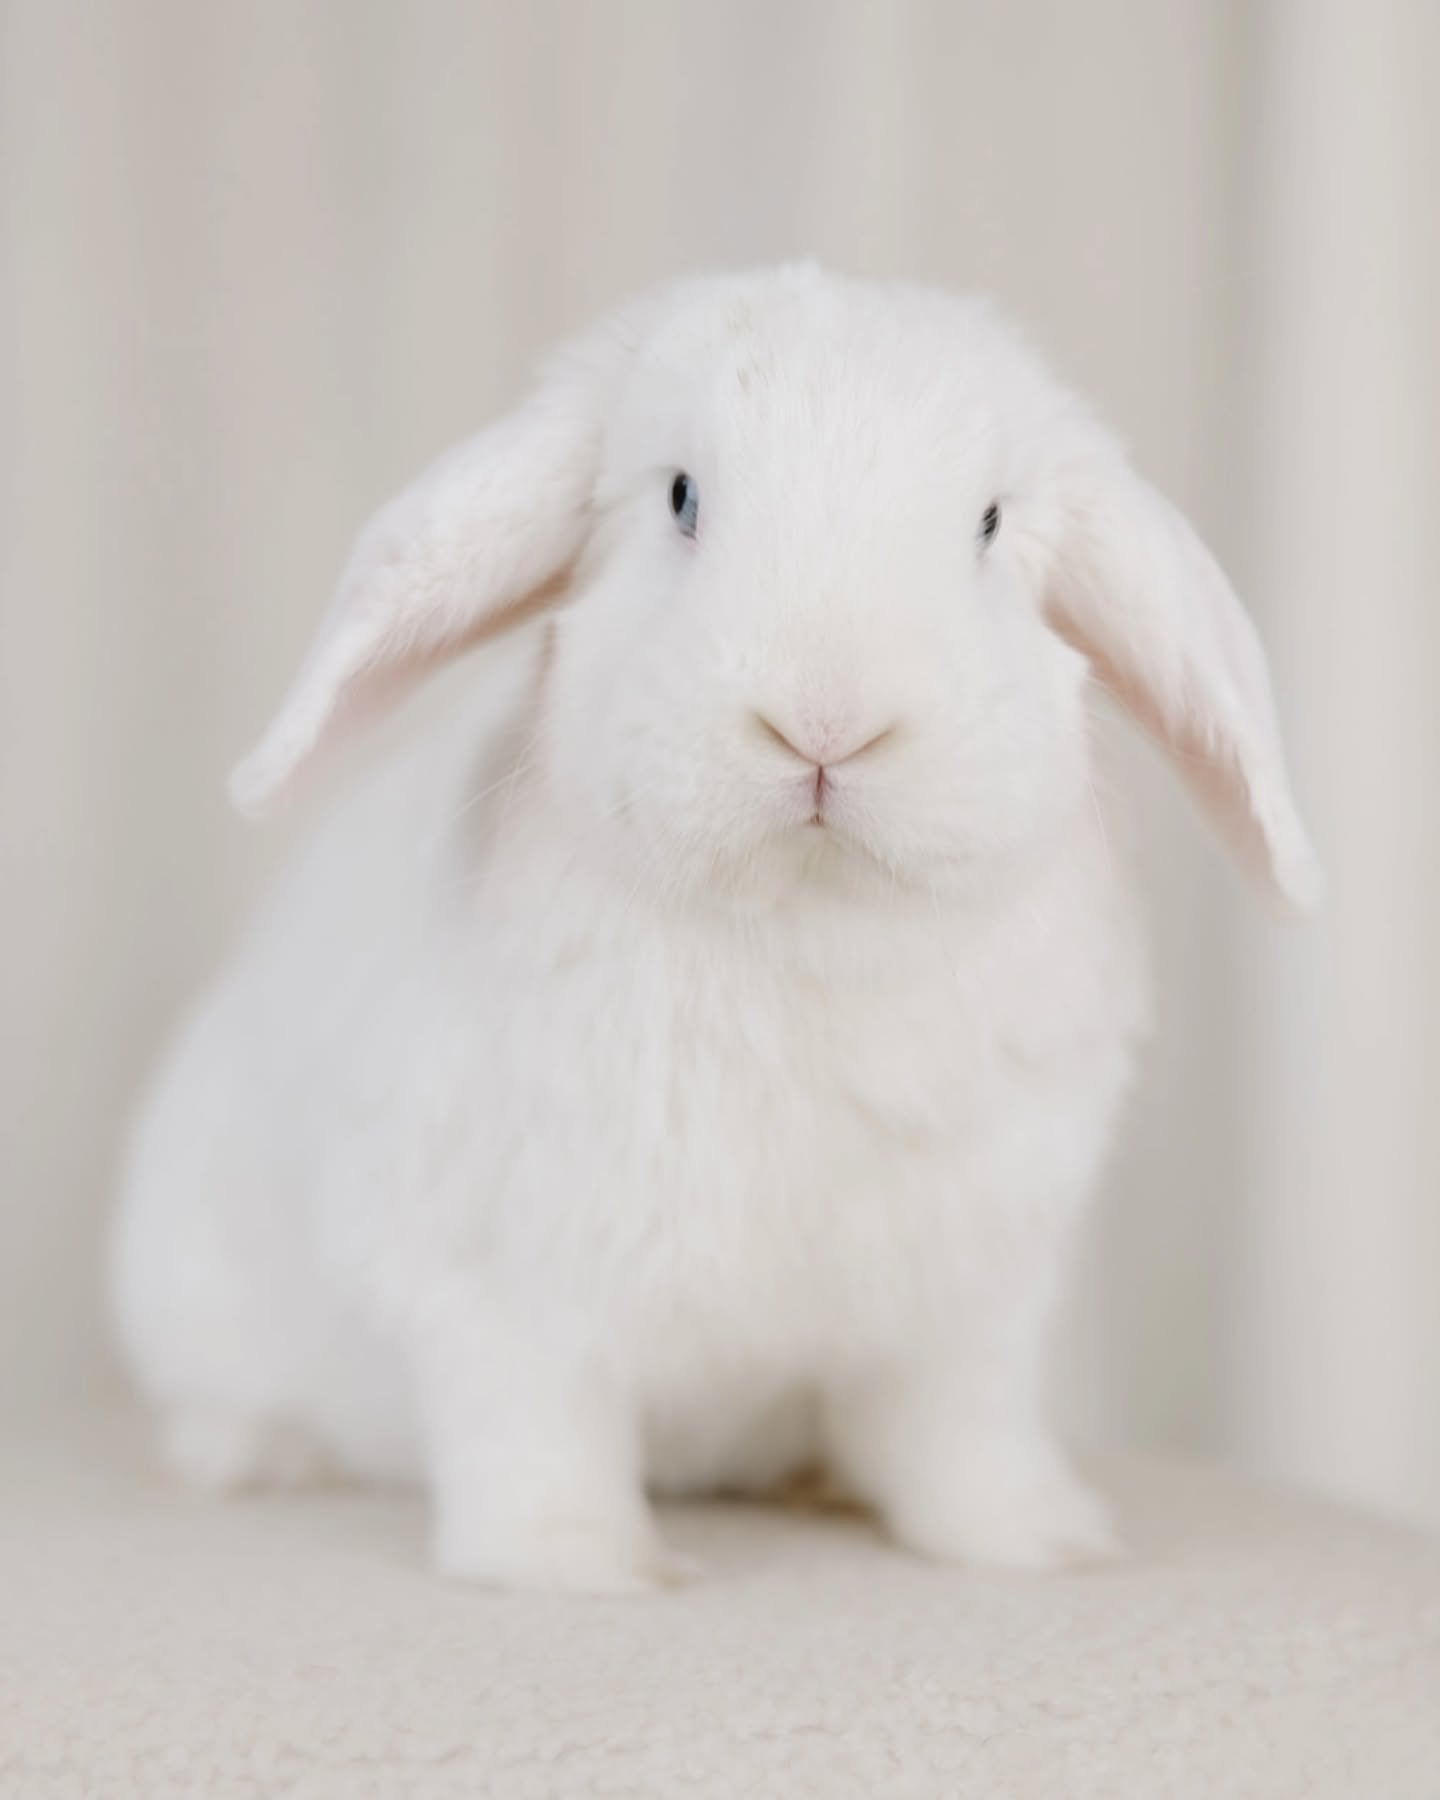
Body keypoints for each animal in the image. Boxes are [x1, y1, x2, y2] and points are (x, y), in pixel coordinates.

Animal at [110, 264, 1321, 1592]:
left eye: (991, 524)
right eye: (684, 497)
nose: (826, 721)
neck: (804, 922)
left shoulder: (969, 1310)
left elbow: (963, 1438)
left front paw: (1040, 1544)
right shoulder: (496, 1291)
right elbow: (535, 1435)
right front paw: (585, 1570)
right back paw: (257, 1457)